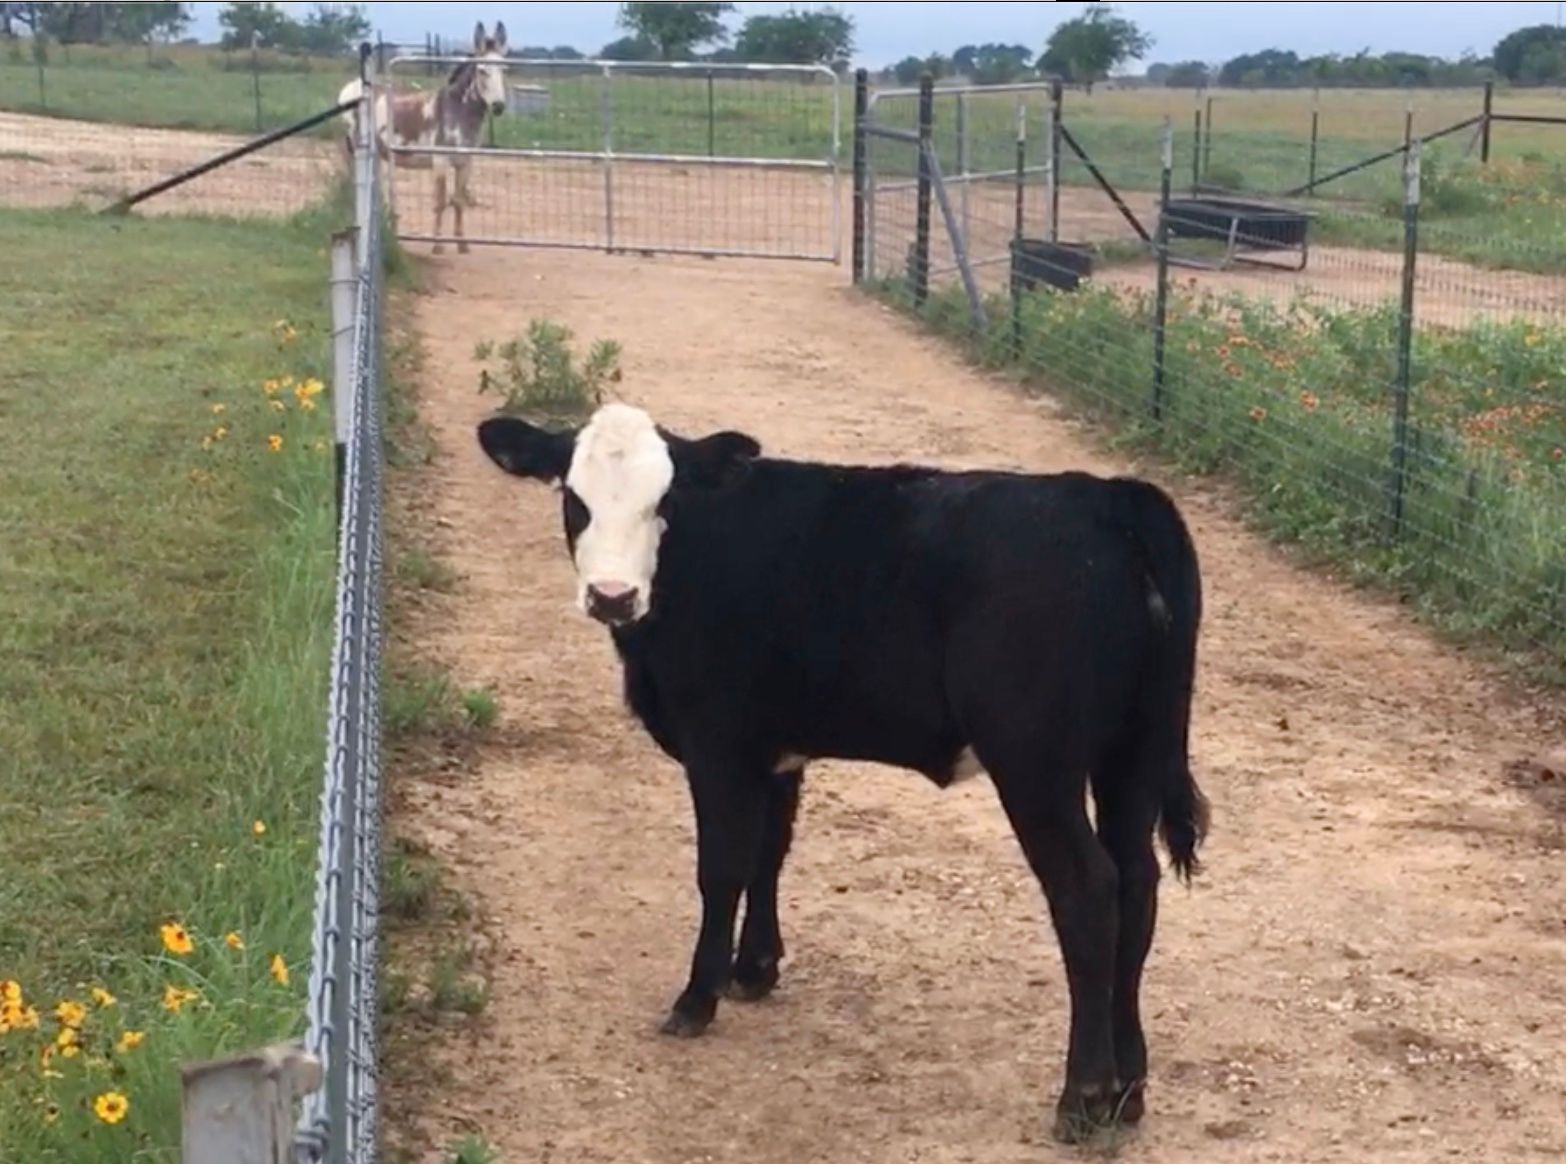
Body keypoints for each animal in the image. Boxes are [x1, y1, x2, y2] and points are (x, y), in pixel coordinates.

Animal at [338, 21, 509, 254]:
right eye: (482, 71)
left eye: (505, 69)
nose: (499, 107)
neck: (457, 111)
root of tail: (351, 86)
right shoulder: (440, 161)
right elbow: (440, 201)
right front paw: (437, 245)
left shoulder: (466, 162)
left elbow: (458, 201)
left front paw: (462, 244)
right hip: (354, 149)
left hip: (378, 154)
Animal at [476, 402, 1210, 1143]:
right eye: (575, 498)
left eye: (666, 502)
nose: (612, 596)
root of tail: (1107, 497)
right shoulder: (774, 749)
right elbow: (768, 854)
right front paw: (754, 970)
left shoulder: (717, 745)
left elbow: (721, 868)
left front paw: (697, 997)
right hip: (1130, 757)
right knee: (1137, 887)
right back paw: (1129, 1090)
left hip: (1037, 763)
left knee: (1089, 891)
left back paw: (1083, 1097)